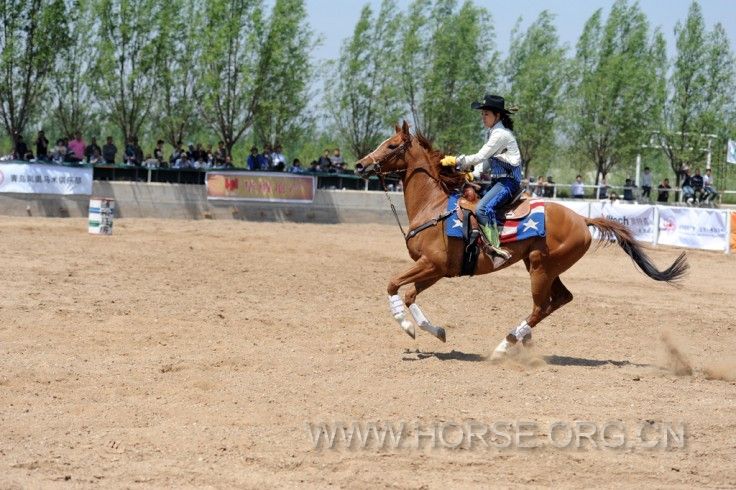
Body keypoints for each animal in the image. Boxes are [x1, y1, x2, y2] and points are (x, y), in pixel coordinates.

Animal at [354, 121, 688, 360]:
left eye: (391, 145)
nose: (359, 165)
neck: (434, 207)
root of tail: (583, 220)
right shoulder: (438, 269)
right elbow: (410, 295)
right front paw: (435, 332)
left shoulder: (432, 264)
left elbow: (393, 284)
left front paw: (405, 324)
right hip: (542, 266)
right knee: (560, 299)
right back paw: (521, 337)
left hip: (541, 268)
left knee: (542, 306)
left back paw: (506, 343)